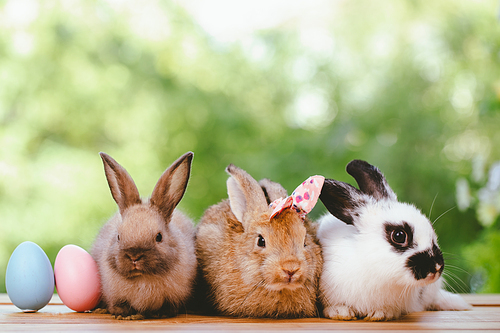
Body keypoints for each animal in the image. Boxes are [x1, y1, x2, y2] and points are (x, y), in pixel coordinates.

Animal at [92, 152, 197, 318]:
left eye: (159, 237)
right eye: (118, 236)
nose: (134, 256)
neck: (143, 277)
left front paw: (160, 313)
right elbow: (118, 305)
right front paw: (123, 314)